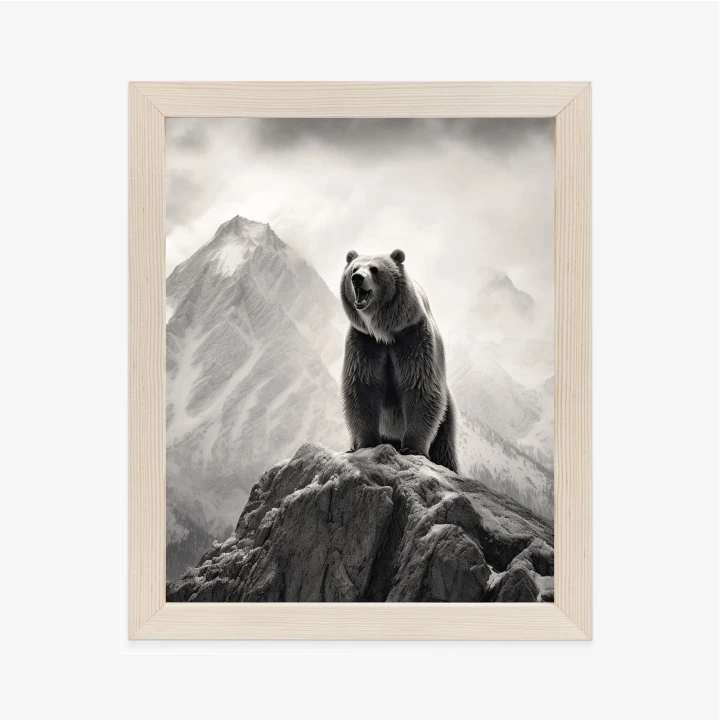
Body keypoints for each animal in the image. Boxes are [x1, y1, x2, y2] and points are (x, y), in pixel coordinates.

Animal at [339, 248, 459, 473]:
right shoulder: (365, 343)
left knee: (444, 447)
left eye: (374, 269)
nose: (357, 278)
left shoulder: (412, 338)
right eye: (354, 268)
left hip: (446, 418)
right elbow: (362, 386)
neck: (385, 331)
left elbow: (419, 385)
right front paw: (367, 443)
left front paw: (412, 448)